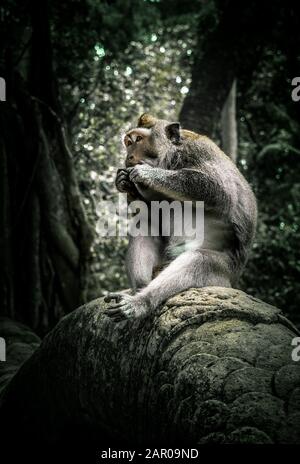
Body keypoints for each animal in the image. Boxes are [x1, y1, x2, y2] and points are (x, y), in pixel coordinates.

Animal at [104, 113, 256, 322]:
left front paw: (147, 173)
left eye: (138, 140)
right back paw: (139, 289)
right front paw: (123, 182)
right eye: (128, 142)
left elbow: (219, 192)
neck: (172, 160)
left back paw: (141, 302)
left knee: (199, 260)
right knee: (144, 224)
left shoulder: (199, 151)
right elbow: (154, 213)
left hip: (223, 275)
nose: (129, 157)